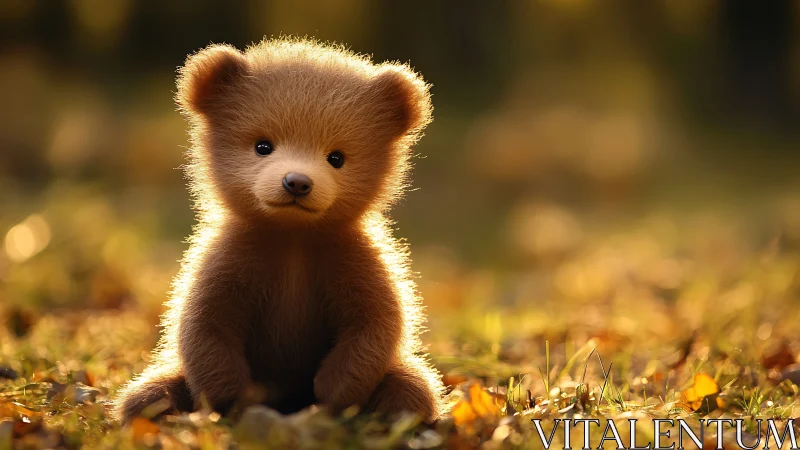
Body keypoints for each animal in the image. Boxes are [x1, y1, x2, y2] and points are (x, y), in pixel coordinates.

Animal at [113, 38, 445, 424]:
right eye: (262, 145)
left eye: (336, 157)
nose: (297, 182)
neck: (293, 238)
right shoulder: (231, 260)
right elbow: (204, 325)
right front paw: (234, 397)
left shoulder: (353, 260)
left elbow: (376, 323)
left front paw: (333, 391)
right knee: (147, 394)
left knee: (414, 387)